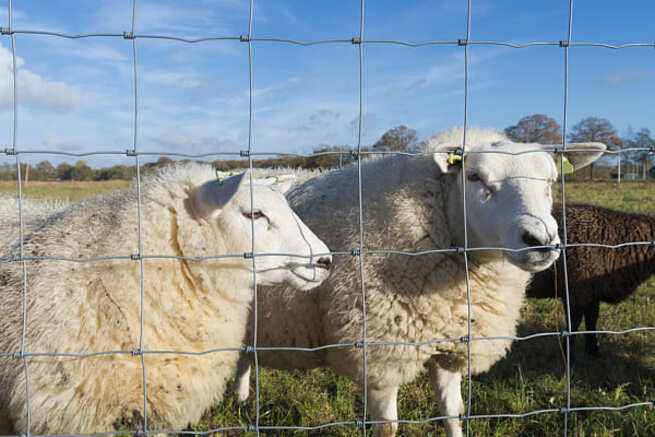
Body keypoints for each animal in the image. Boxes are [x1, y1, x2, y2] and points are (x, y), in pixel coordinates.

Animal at [233, 127, 608, 436]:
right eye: (475, 177)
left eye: (550, 181)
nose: (540, 241)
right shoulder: (380, 354)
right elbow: (388, 427)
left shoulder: (452, 341)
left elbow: (453, 413)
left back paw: (241, 397)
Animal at [528, 203, 655, 362]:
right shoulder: (576, 292)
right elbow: (574, 324)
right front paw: (569, 357)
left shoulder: (593, 292)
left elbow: (592, 320)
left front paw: (594, 352)